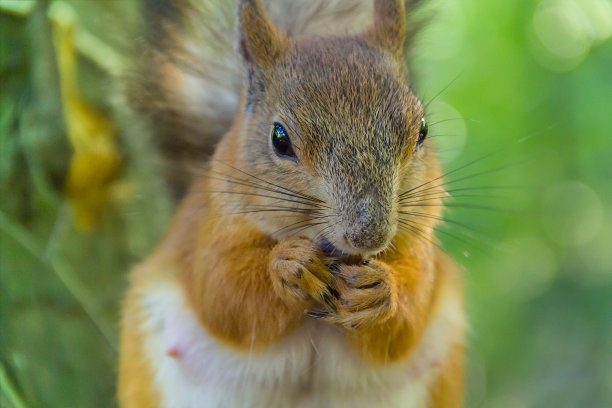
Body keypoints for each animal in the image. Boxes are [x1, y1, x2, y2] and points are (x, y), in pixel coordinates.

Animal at [119, 0, 464, 408]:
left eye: (422, 130)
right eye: (279, 139)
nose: (369, 235)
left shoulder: (418, 243)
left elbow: (411, 314)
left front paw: (380, 292)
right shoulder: (204, 232)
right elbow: (222, 294)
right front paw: (288, 266)